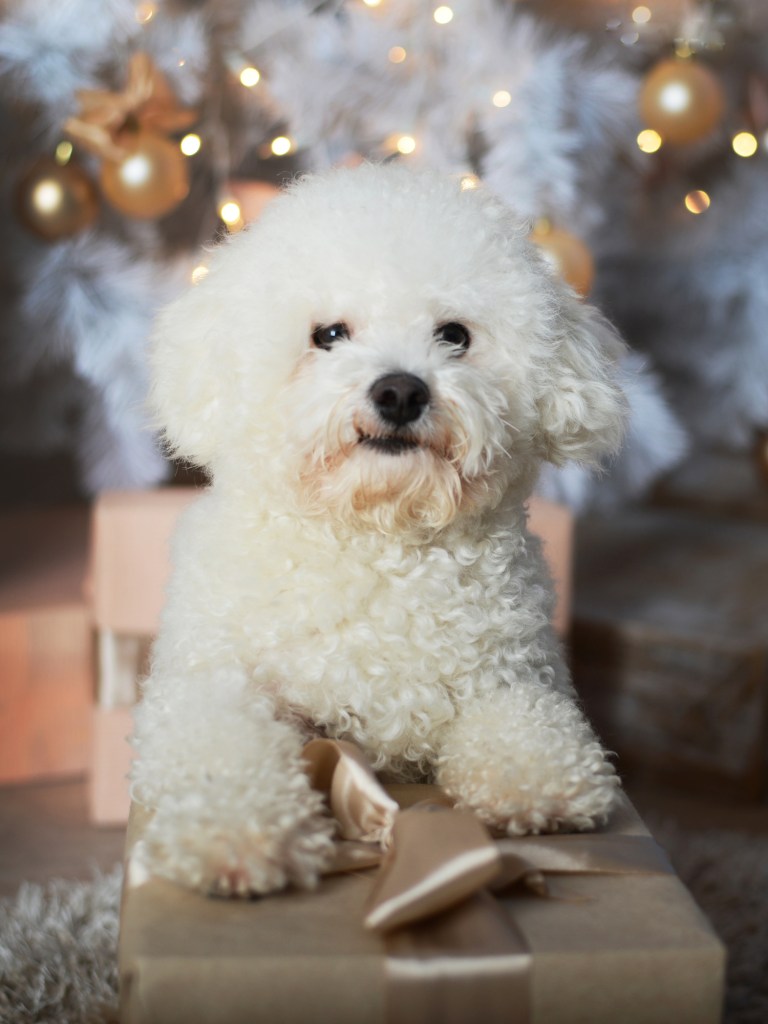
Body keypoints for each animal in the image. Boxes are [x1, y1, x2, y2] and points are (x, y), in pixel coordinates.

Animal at [131, 165, 626, 897]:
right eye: (330, 334)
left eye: (454, 335)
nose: (399, 391)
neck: (379, 542)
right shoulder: (205, 685)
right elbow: (223, 746)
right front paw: (236, 830)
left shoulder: (514, 675)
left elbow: (526, 722)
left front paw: (538, 782)